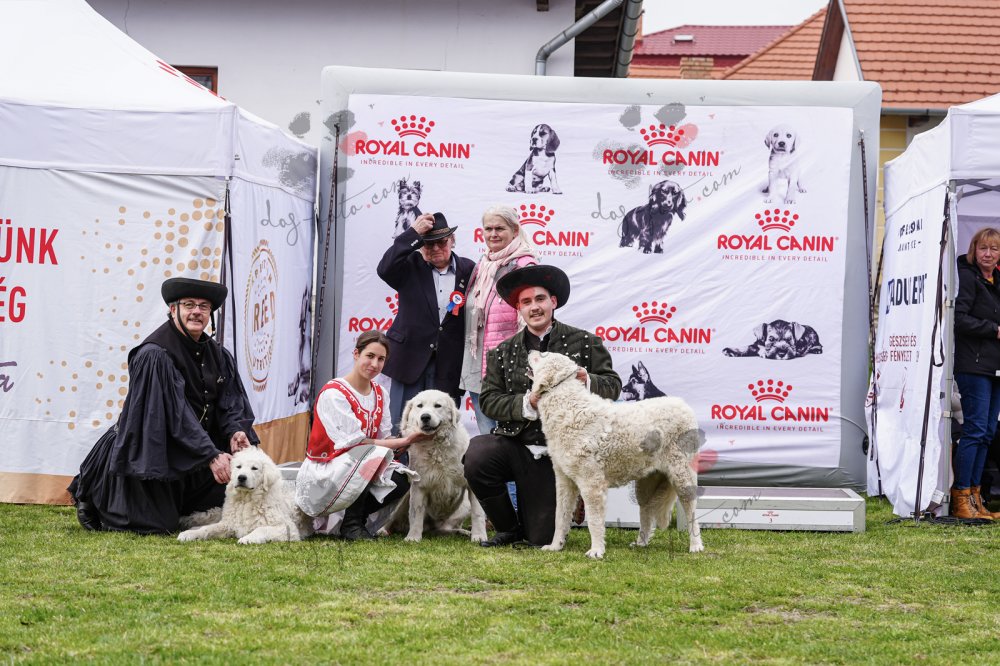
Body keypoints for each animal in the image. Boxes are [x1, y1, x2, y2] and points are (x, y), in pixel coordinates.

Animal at [177, 447, 313, 545]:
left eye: (254, 468)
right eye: (238, 467)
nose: (241, 477)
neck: (246, 500)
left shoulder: (287, 528)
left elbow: (261, 529)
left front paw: (248, 538)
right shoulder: (228, 524)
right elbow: (208, 529)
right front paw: (189, 535)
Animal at [388, 390, 487, 542]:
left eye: (437, 406)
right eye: (420, 406)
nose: (425, 417)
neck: (436, 447)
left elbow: (478, 513)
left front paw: (479, 536)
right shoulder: (419, 485)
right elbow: (416, 513)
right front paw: (413, 537)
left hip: (463, 505)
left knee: (444, 529)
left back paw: (462, 532)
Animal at [528, 351, 704, 559]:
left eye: (543, 355)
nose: (530, 351)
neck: (568, 407)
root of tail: (683, 404)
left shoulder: (591, 483)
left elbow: (594, 520)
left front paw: (596, 550)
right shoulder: (564, 481)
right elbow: (560, 517)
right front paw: (555, 546)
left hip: (682, 476)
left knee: (691, 510)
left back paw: (696, 545)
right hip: (646, 484)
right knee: (646, 512)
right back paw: (641, 543)